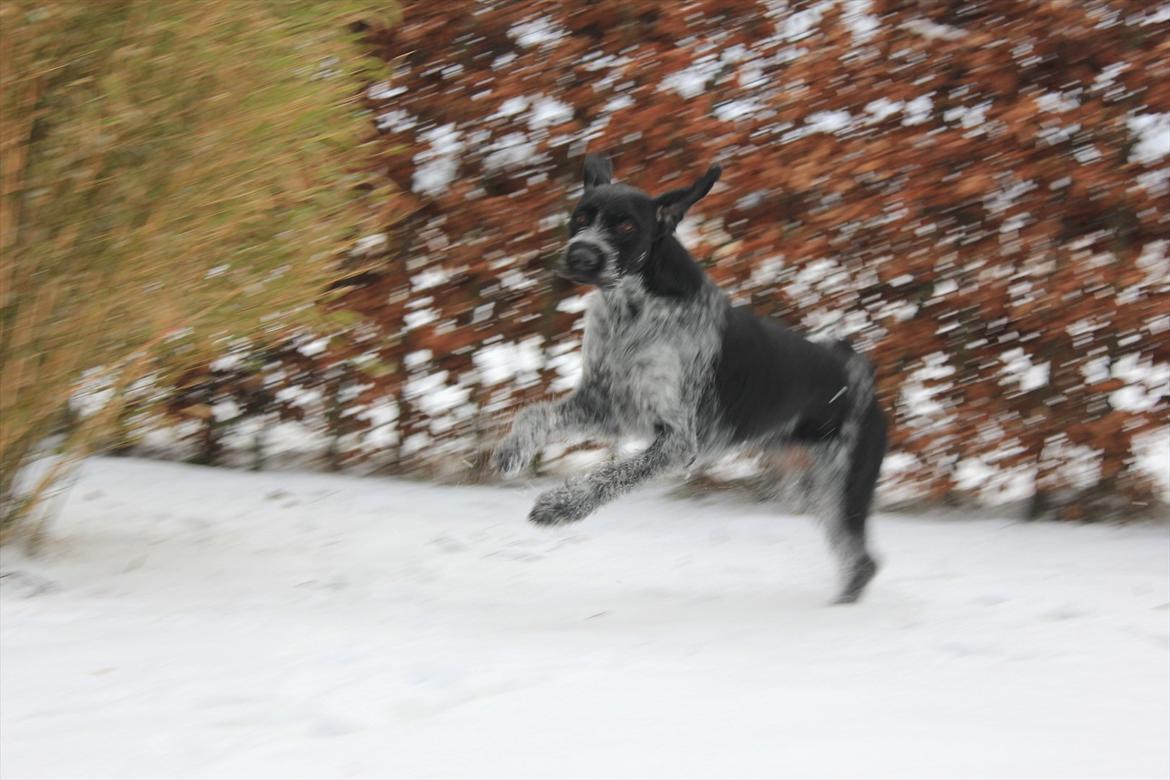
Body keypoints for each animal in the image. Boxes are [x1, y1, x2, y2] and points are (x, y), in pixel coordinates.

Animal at [491, 154, 884, 603]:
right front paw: (513, 450)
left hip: (843, 489)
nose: (581, 256)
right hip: (811, 486)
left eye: (626, 226)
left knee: (863, 561)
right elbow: (533, 415)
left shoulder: (678, 440)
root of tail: (863, 375)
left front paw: (561, 506)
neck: (632, 311)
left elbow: (611, 476)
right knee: (858, 558)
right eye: (581, 218)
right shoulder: (609, 405)